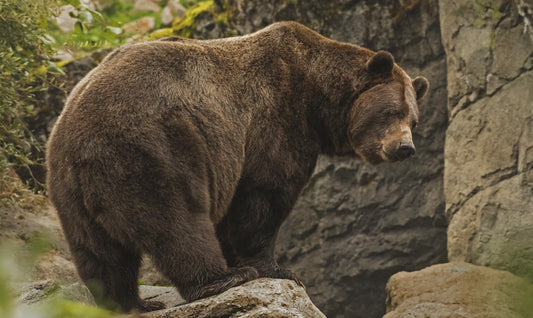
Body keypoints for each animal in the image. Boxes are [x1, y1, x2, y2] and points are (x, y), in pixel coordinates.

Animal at [45, 21, 428, 312]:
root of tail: (80, 140)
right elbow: (263, 197)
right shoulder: (275, 120)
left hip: (67, 185)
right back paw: (220, 279)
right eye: (391, 112)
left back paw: (129, 303)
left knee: (99, 251)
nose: (405, 148)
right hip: (153, 145)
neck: (316, 96)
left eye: (413, 119)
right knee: (175, 218)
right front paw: (278, 269)